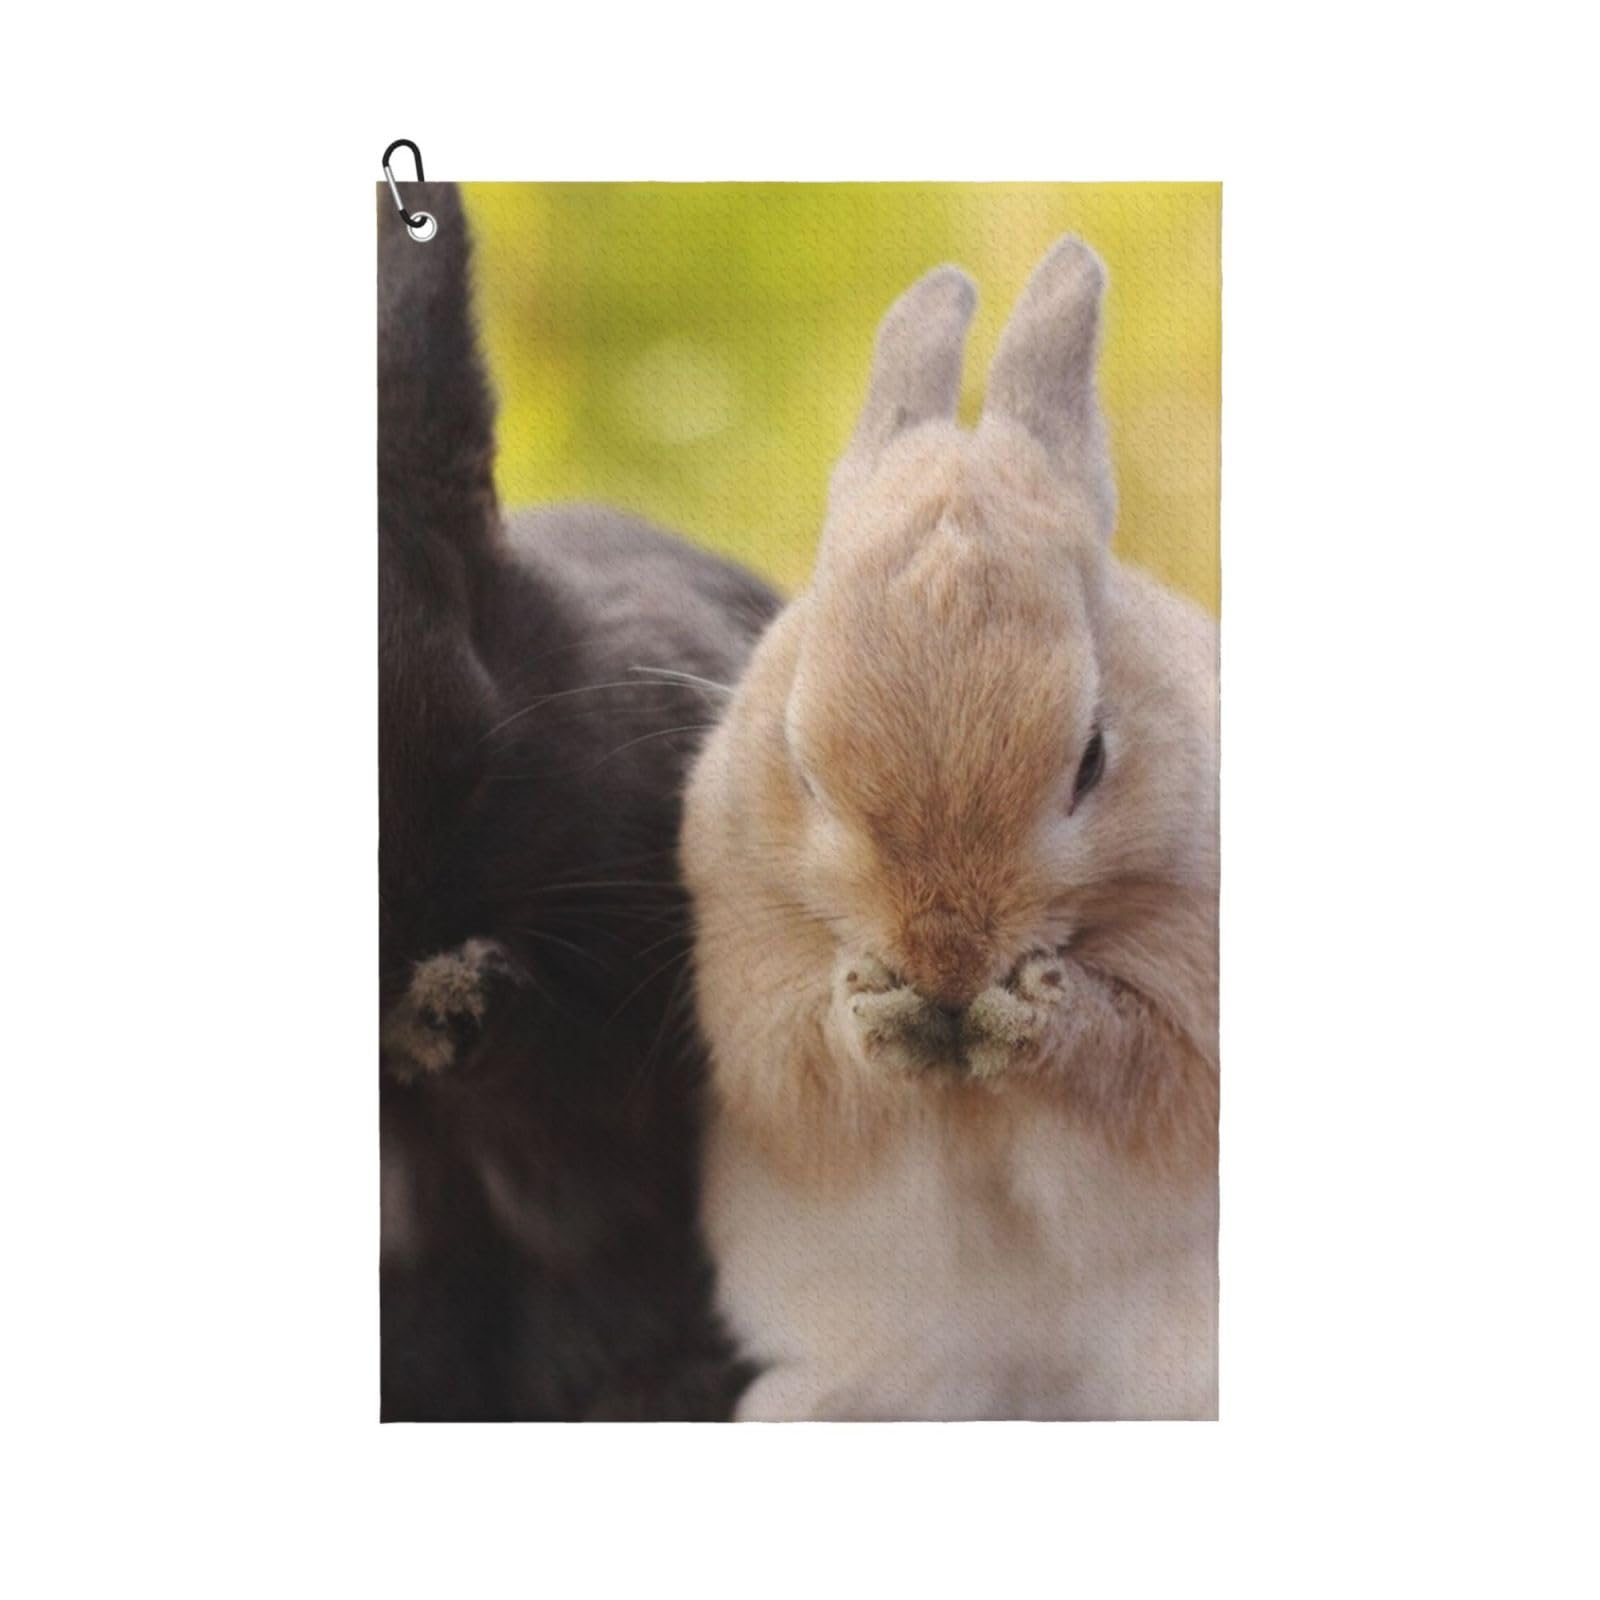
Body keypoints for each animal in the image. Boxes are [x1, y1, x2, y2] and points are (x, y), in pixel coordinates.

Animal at [681, 237, 1219, 1421]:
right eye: (802, 768)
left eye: (1092, 759)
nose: (946, 957)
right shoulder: (752, 1001)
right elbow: (811, 1074)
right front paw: (878, 1015)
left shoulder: (1195, 1009)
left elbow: (1138, 1063)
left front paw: (1029, 1018)